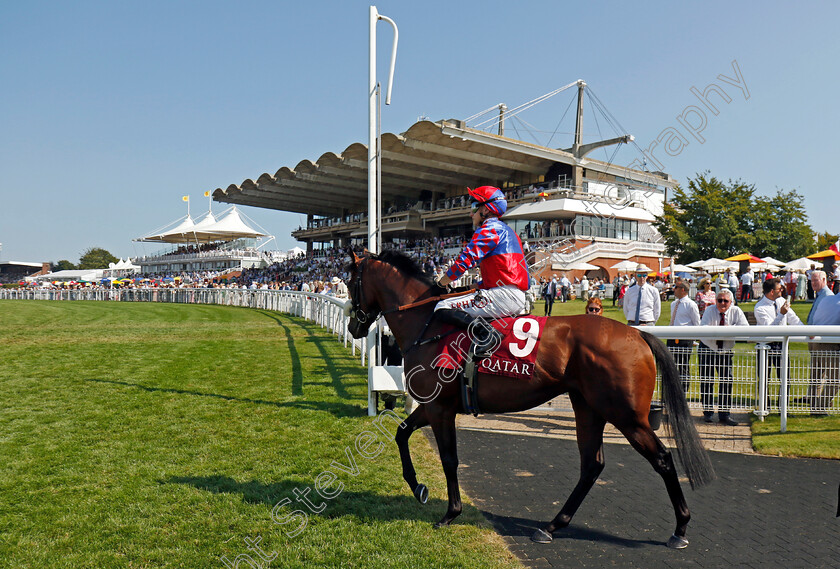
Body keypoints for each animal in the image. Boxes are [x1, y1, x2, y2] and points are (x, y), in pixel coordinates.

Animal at [344, 247, 712, 544]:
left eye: (349, 282)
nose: (354, 327)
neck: (428, 324)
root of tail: (637, 334)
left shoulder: (439, 409)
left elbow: (448, 459)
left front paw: (450, 512)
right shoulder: (434, 406)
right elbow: (400, 433)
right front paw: (418, 487)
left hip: (627, 415)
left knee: (661, 459)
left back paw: (680, 527)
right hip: (589, 408)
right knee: (591, 464)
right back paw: (551, 526)